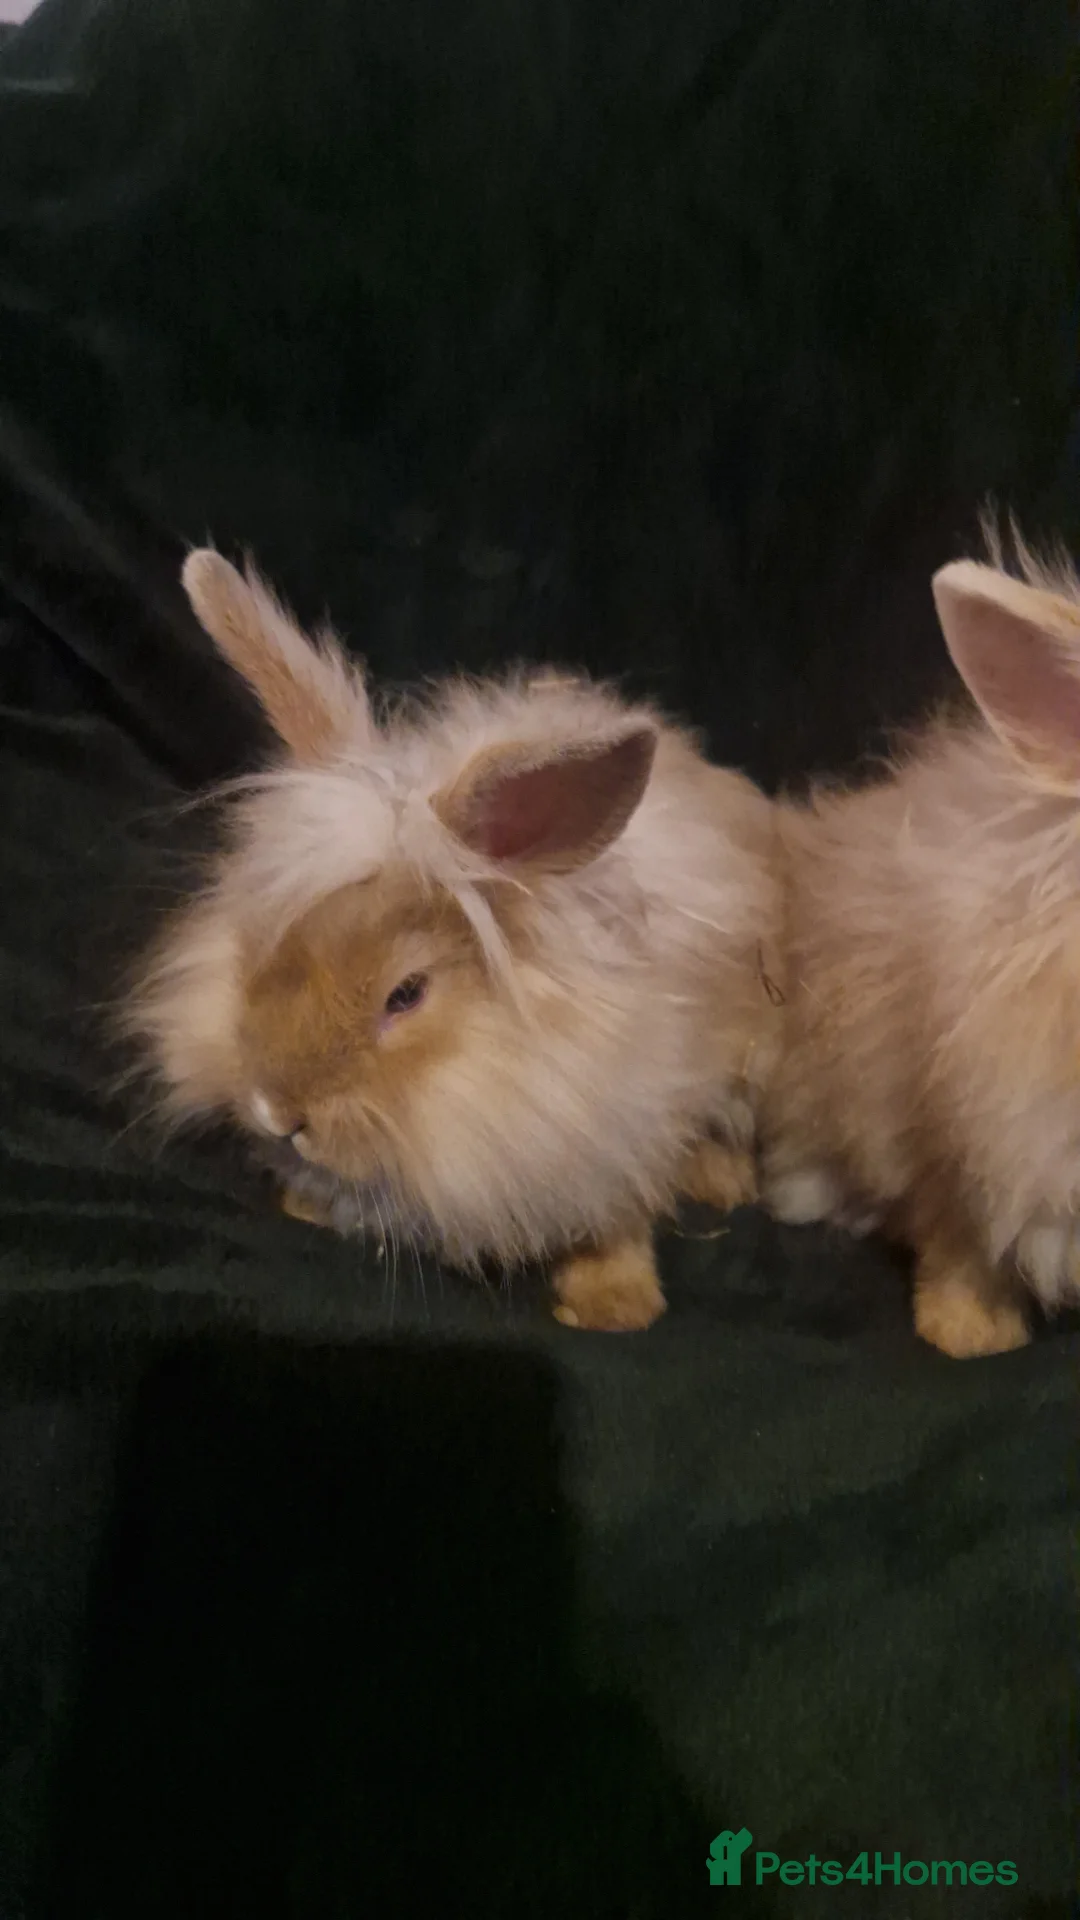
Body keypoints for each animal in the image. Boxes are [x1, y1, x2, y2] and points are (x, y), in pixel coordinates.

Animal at [126, 549, 783, 1331]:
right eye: (260, 945)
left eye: (407, 994)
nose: (278, 1113)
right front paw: (306, 1205)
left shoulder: (624, 1119)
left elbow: (619, 1219)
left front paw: (611, 1306)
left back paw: (721, 1183)